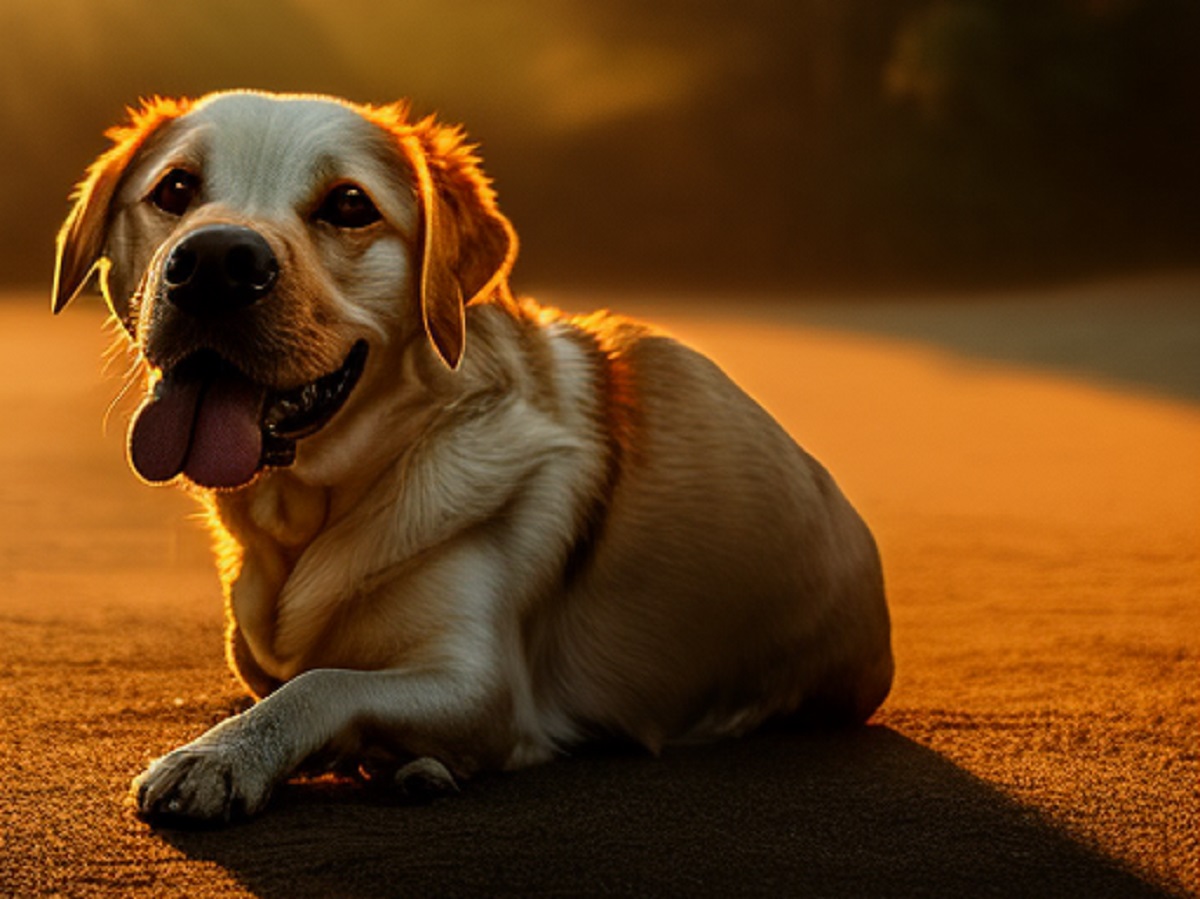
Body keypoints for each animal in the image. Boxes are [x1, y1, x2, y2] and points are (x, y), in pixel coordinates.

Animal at [54, 91, 892, 820]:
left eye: (349, 206)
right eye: (175, 189)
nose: (215, 261)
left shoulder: (481, 683)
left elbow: (322, 683)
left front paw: (221, 756)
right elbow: (288, 676)